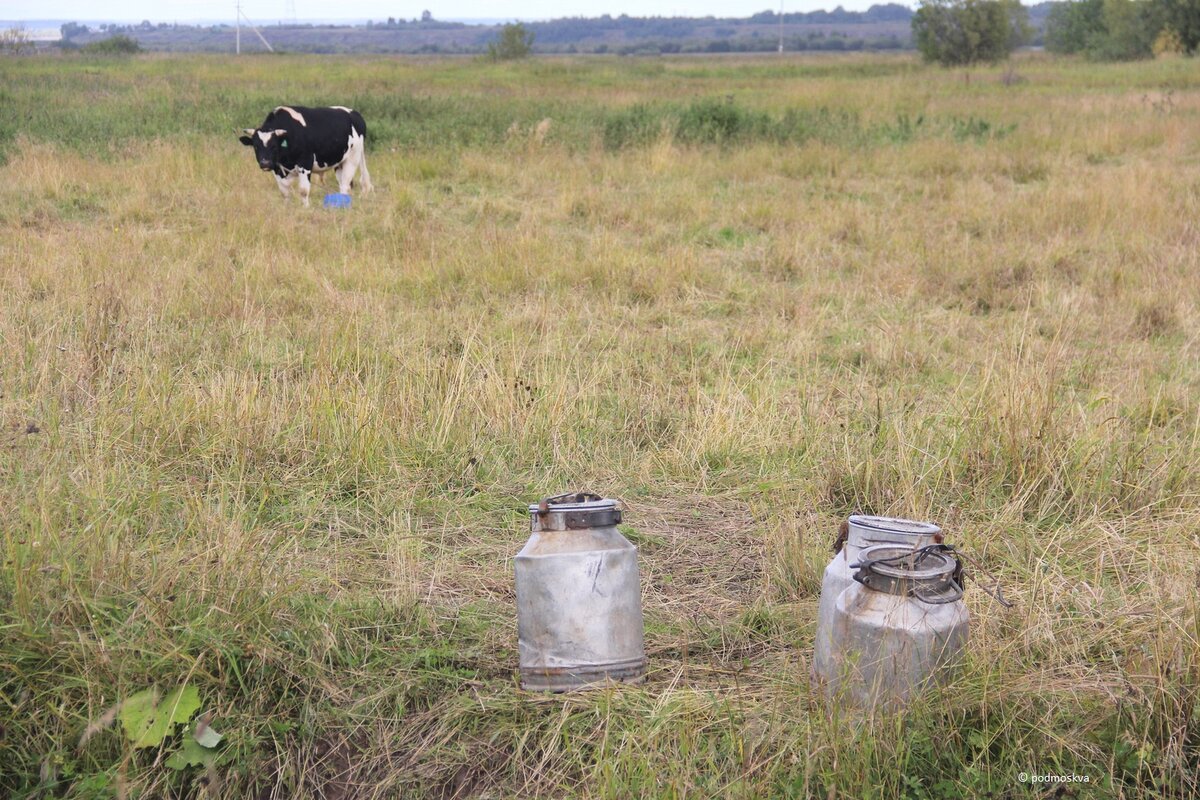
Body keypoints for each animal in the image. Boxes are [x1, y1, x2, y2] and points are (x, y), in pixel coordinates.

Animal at [240, 104, 374, 208]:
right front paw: (286, 207)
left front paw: (306, 208)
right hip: (339, 162)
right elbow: (284, 192)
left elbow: (304, 190)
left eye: (274, 146)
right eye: (256, 146)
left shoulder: (305, 164)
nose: (265, 163)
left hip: (352, 159)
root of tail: (354, 113)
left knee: (345, 185)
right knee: (344, 184)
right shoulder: (277, 169)